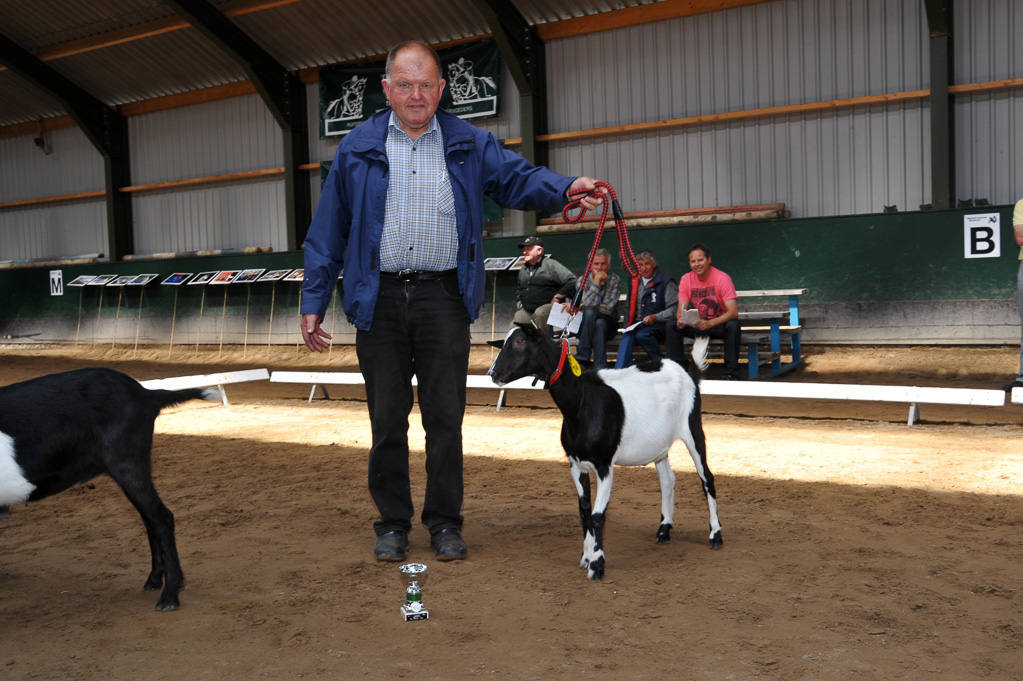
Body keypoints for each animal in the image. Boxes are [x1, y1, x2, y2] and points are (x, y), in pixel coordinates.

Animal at [0, 366, 215, 609]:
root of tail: (145, 394)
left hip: (126, 461)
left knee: (161, 517)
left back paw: (169, 595)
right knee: (148, 518)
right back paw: (154, 580)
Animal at [488, 323, 724, 576]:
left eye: (519, 341)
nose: (492, 373)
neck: (581, 401)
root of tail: (689, 374)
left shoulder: (604, 465)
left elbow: (598, 515)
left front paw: (597, 564)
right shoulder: (576, 464)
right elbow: (584, 511)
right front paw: (586, 556)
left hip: (693, 428)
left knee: (707, 478)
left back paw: (715, 535)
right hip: (660, 445)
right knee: (667, 480)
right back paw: (663, 530)